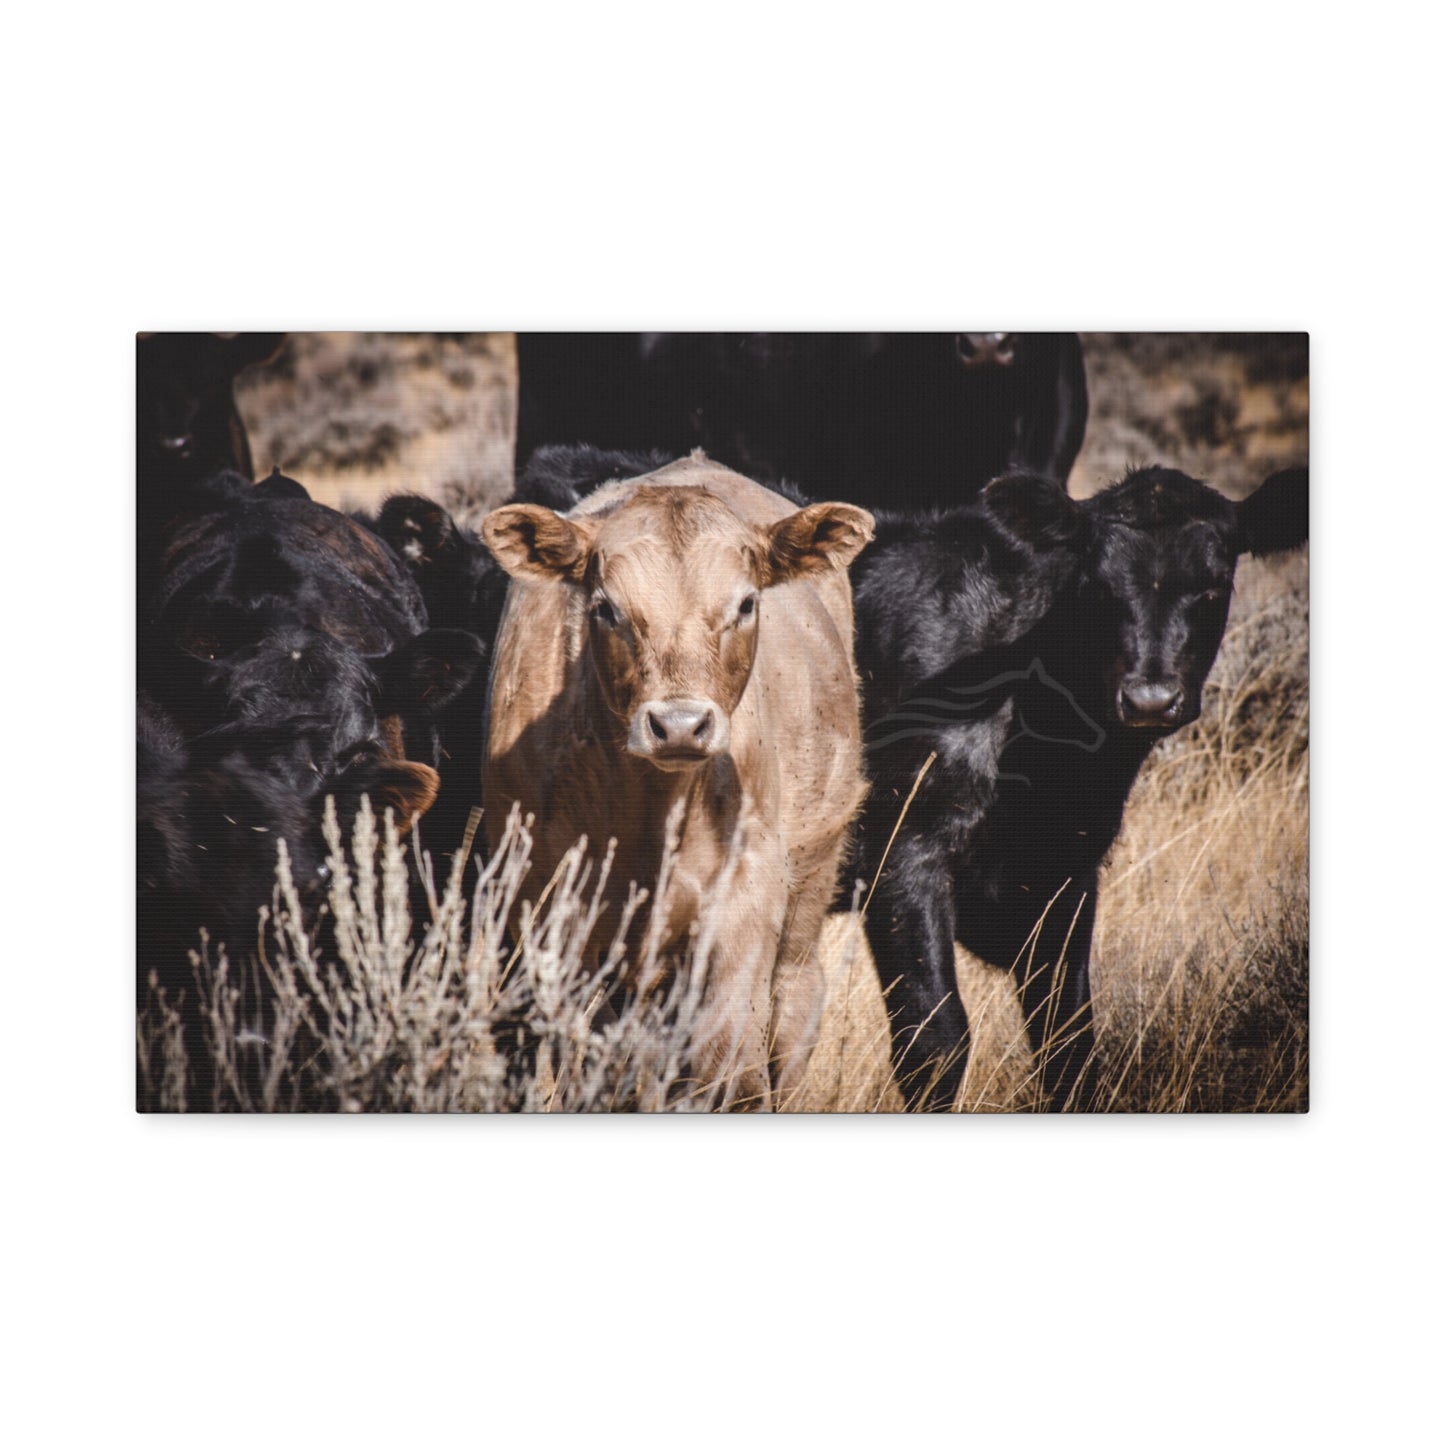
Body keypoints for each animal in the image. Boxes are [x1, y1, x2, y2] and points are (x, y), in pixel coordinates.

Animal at [480, 454, 874, 1108]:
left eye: (746, 604)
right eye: (606, 608)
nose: (680, 725)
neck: (649, 818)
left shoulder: (743, 905)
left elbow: (727, 1071)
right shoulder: (552, 914)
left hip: (809, 887)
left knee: (793, 1006)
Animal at [850, 464, 1309, 1110]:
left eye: (1215, 586)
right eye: (1097, 586)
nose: (1150, 699)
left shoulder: (1068, 870)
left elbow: (1068, 1042)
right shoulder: (902, 851)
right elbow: (935, 1042)